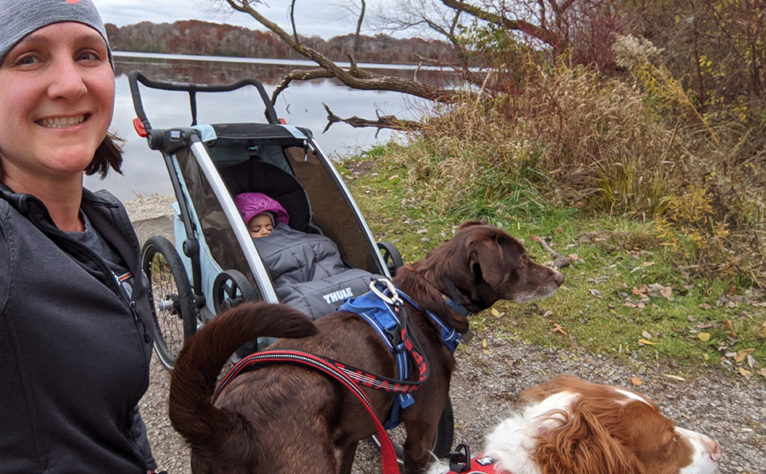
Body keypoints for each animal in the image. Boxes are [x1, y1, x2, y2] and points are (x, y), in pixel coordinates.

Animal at [168, 222, 564, 474]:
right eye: (523, 259)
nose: (561, 276)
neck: (431, 301)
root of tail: (229, 423)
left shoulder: (349, 440)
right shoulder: (421, 436)